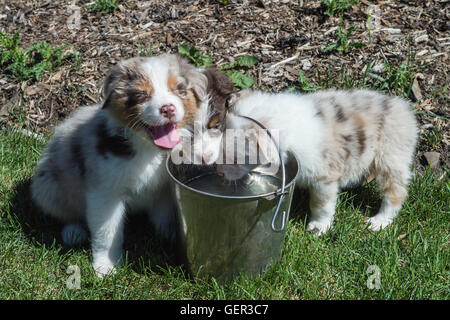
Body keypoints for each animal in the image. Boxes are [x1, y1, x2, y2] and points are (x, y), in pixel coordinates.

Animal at [213, 90, 416, 235]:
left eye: (237, 159)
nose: (219, 173)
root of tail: (403, 108)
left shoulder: (324, 178)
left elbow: (321, 205)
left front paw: (318, 227)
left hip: (391, 157)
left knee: (396, 193)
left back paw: (378, 221)